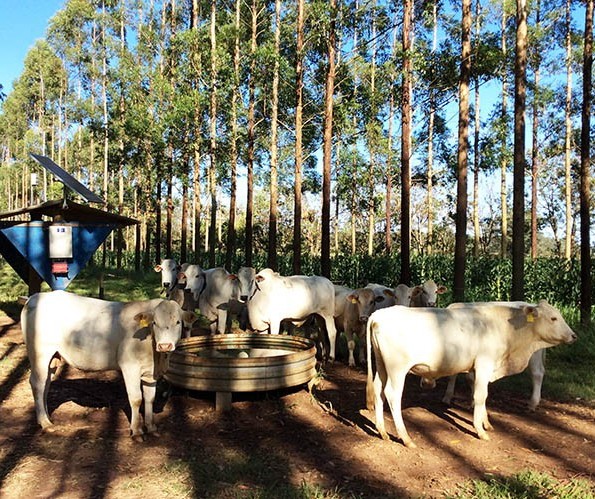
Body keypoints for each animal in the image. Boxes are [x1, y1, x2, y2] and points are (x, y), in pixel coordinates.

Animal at [21, 292, 198, 440]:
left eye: (178, 322)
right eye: (154, 323)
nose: (165, 345)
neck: (156, 356)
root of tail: (34, 297)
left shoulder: (150, 372)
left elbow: (149, 398)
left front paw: (151, 427)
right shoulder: (129, 366)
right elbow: (136, 399)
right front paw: (137, 431)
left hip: (53, 357)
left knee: (46, 383)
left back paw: (46, 417)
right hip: (40, 353)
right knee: (37, 383)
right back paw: (45, 422)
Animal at [368, 300, 576, 450]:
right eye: (553, 318)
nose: (574, 335)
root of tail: (379, 315)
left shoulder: (478, 368)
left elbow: (480, 395)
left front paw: (485, 422)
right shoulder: (484, 363)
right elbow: (480, 396)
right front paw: (481, 430)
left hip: (381, 366)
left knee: (378, 390)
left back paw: (382, 431)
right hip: (397, 368)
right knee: (392, 395)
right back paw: (406, 438)